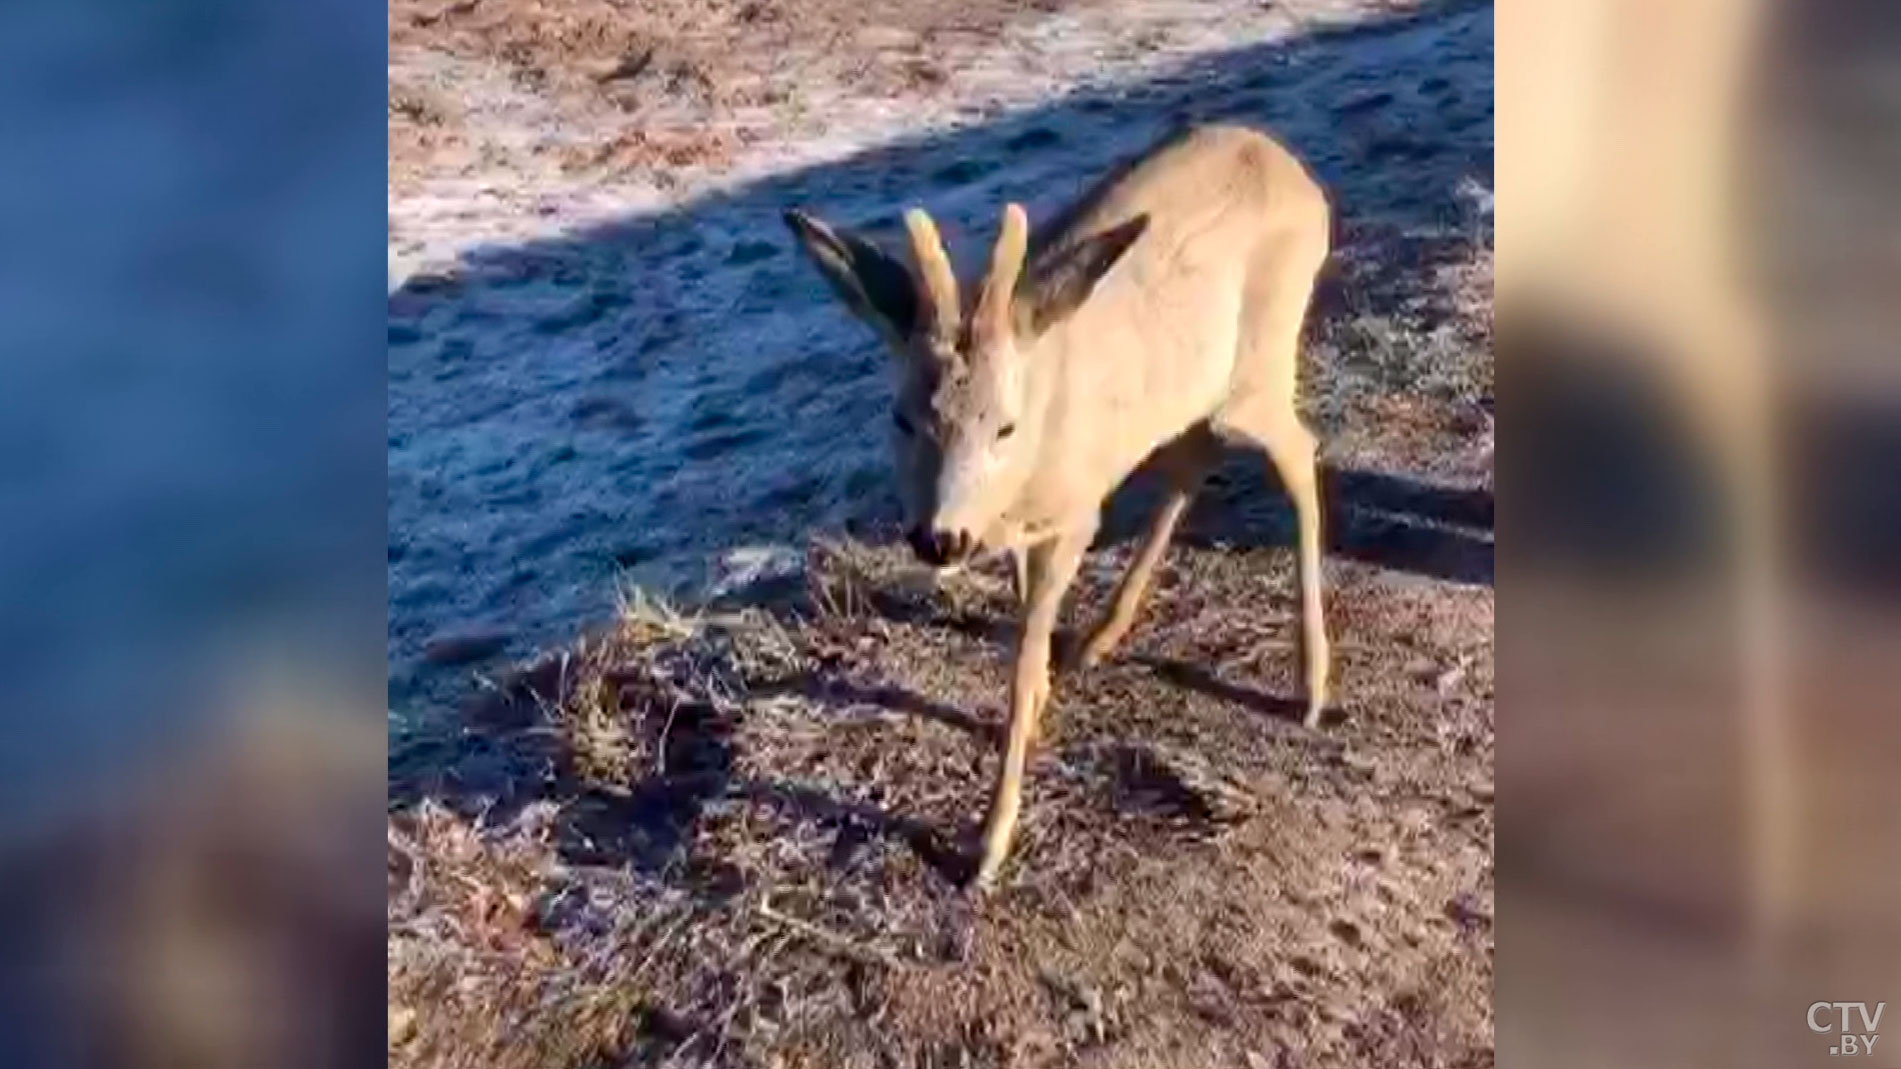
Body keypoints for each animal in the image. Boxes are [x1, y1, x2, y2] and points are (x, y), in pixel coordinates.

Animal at [779, 122, 1330, 882]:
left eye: (1004, 426)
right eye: (899, 417)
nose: (937, 538)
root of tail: (1301, 179)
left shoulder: (1072, 517)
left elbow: (1019, 664)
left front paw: (989, 841)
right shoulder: (1023, 527)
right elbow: (1025, 635)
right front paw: (1041, 704)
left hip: (1259, 367)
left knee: (1301, 453)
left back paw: (1311, 684)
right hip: (1188, 394)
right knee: (1193, 464)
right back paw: (1101, 636)